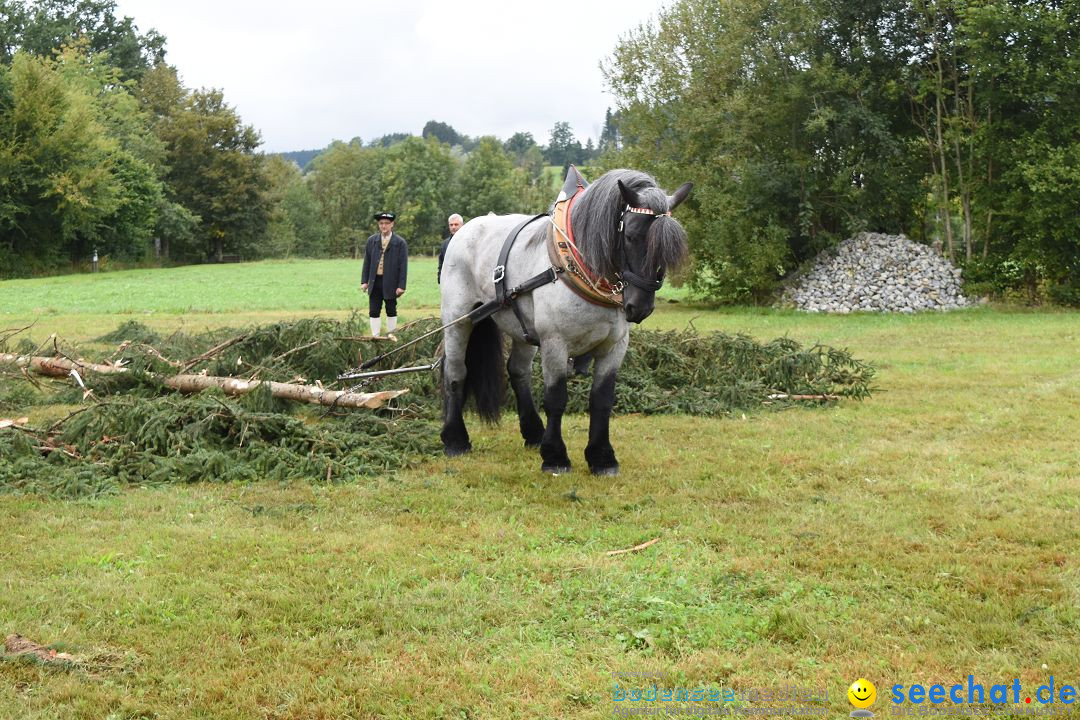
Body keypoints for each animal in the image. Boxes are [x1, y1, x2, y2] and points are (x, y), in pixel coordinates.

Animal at [438, 166, 691, 474]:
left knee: (518, 371)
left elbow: (602, 400)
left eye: (670, 248)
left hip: (522, 328)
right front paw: (555, 456)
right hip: (459, 320)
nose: (639, 307)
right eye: (630, 235)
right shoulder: (555, 343)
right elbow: (556, 399)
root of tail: (464, 230)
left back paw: (533, 432)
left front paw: (602, 457)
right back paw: (455, 439)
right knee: (455, 372)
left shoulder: (614, 346)